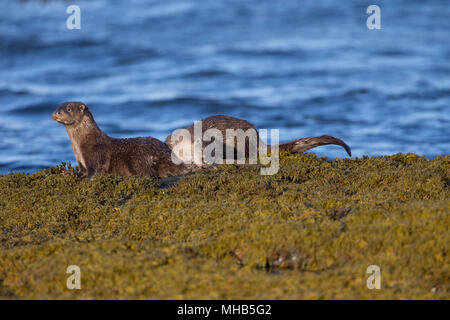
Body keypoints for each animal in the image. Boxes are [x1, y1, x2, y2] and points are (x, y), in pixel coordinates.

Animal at [52, 102, 190, 179]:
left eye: (69, 109)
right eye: (57, 107)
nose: (56, 113)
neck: (80, 145)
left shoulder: (96, 154)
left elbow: (96, 171)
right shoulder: (81, 161)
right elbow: (82, 172)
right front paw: (69, 173)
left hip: (138, 156)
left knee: (149, 174)